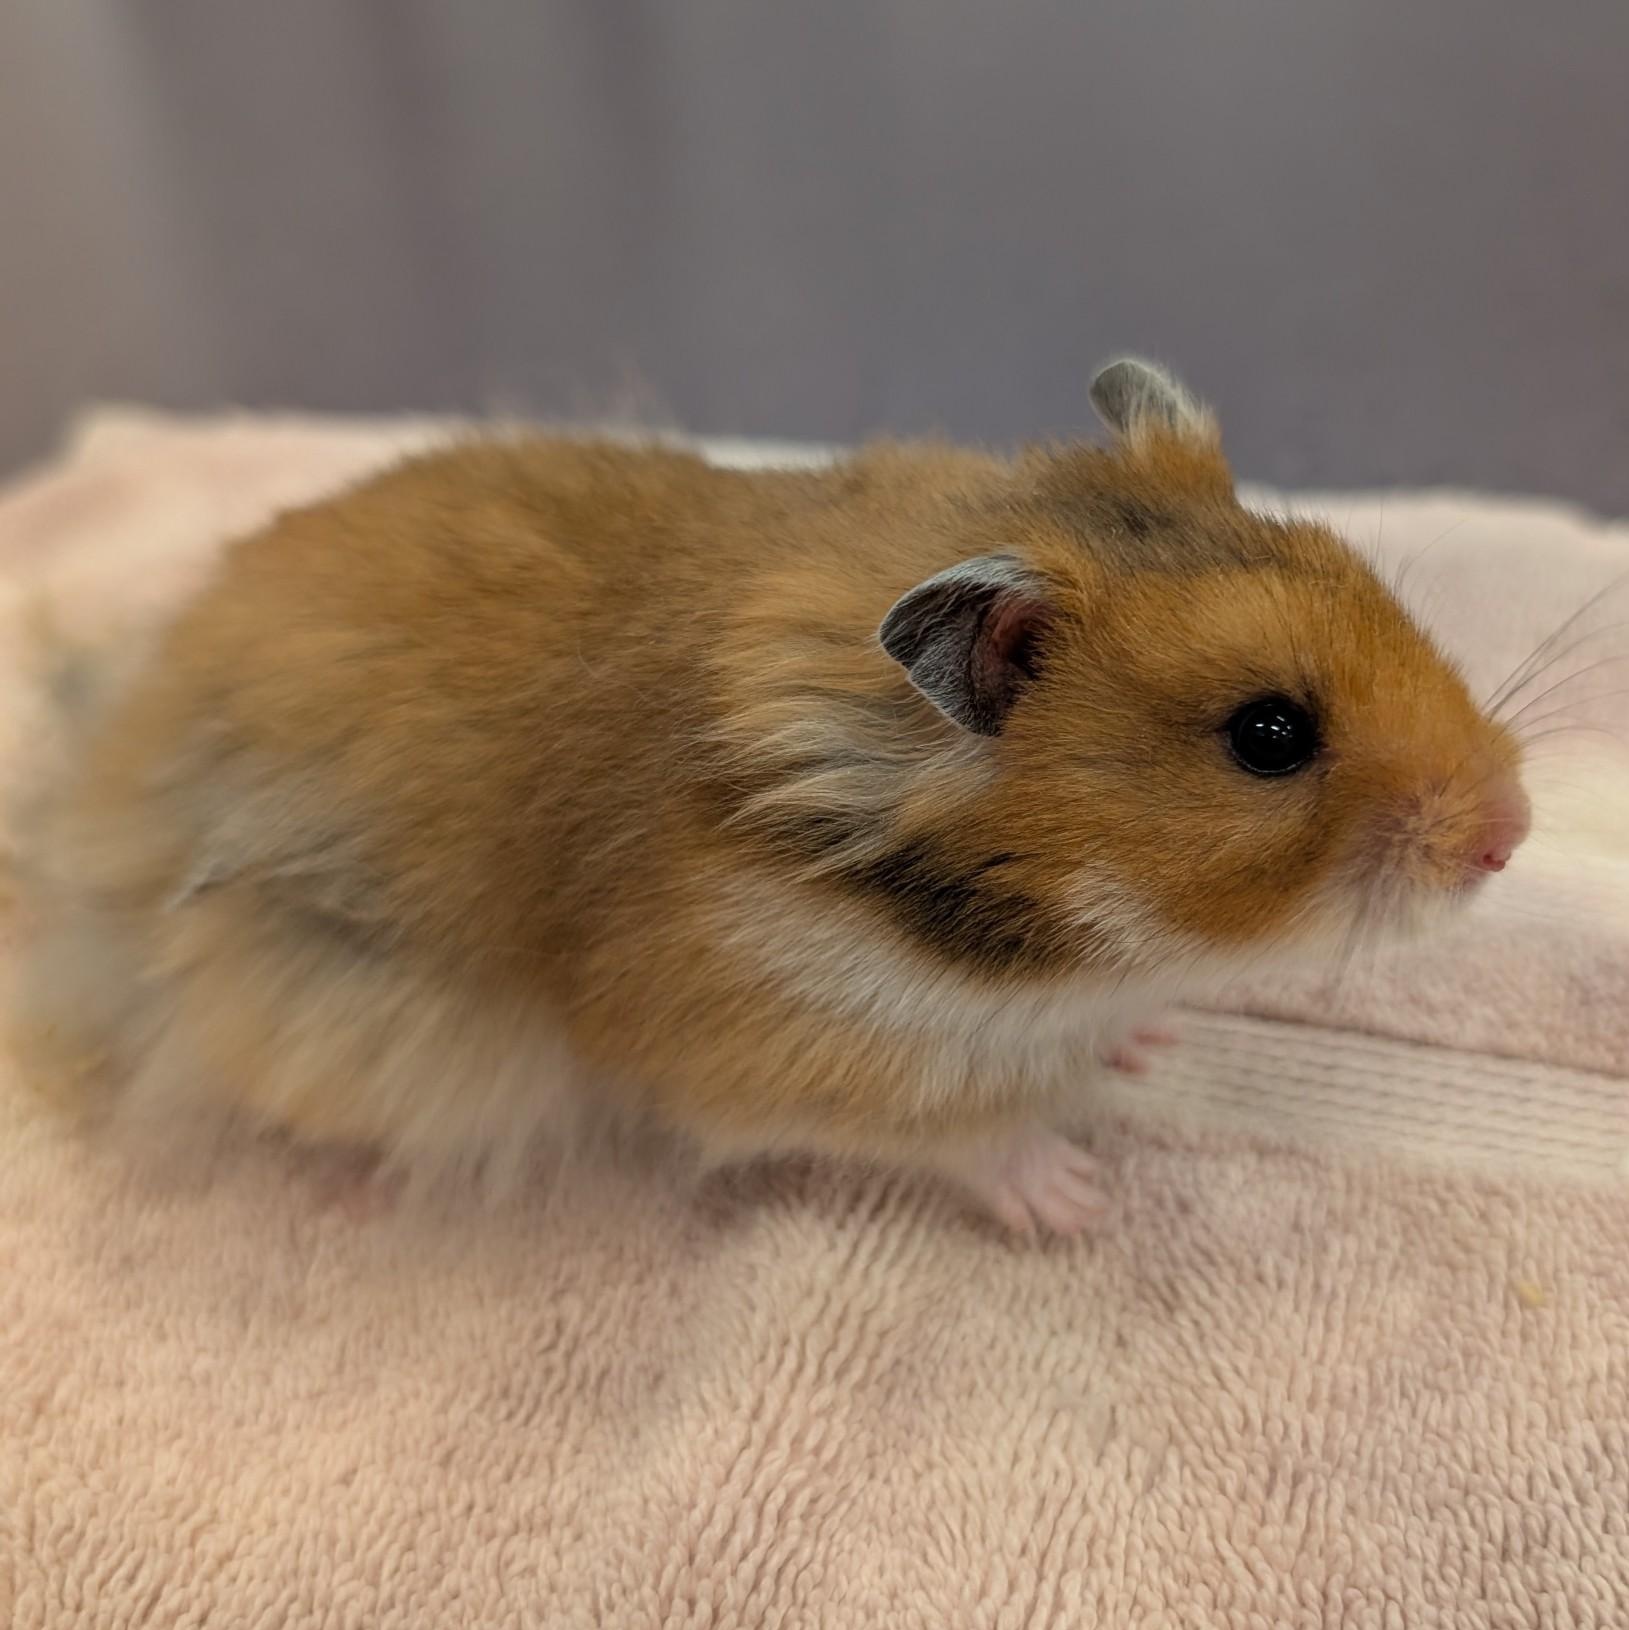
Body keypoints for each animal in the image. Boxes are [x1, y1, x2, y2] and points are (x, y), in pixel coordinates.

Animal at [11, 359, 1530, 1235]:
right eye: (1268, 735)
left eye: (1367, 577)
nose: (1510, 835)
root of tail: (100, 784)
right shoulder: (769, 1063)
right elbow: (961, 1131)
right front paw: (1080, 1202)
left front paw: (1148, 1045)